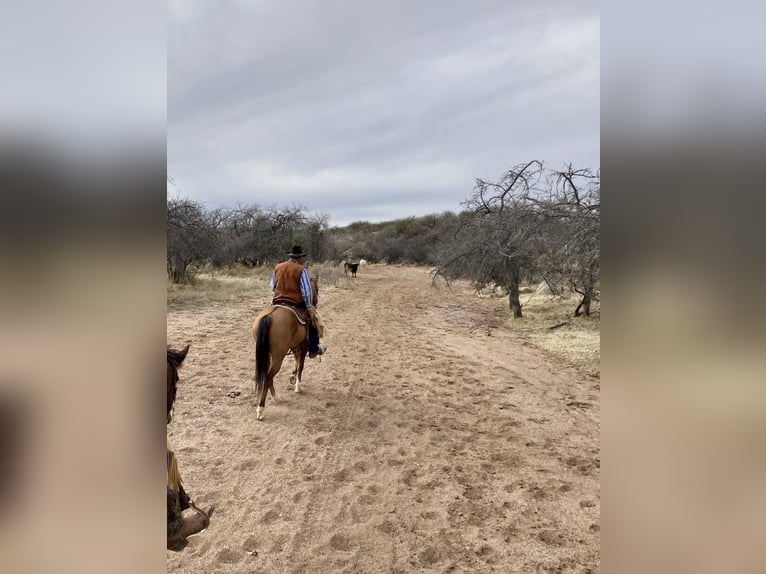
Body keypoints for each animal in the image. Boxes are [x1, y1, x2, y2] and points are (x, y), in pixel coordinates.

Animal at [252, 276, 318, 420]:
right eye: (317, 289)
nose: (315, 303)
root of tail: (269, 315)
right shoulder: (303, 348)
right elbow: (301, 366)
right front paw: (298, 387)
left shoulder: (295, 347)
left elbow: (297, 363)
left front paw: (293, 376)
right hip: (278, 355)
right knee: (269, 375)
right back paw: (261, 408)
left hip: (269, 354)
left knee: (266, 374)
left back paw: (275, 397)